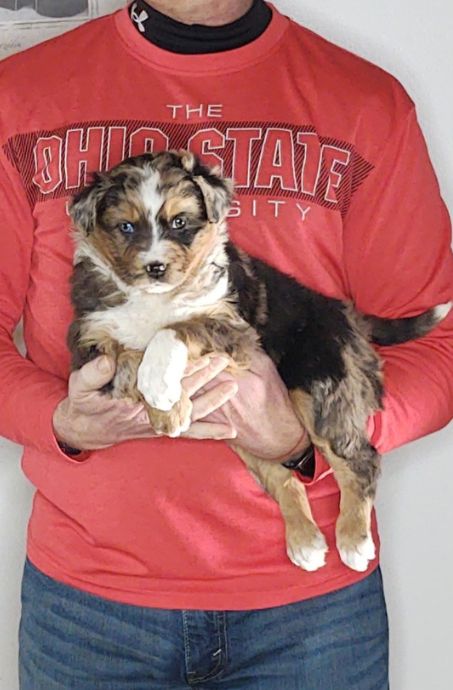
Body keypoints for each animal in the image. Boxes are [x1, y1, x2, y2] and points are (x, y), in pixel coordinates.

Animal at [67, 150, 448, 568]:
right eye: (126, 227)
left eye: (180, 222)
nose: (155, 268)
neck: (154, 297)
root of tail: (347, 313)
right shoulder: (88, 340)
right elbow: (126, 358)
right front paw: (167, 407)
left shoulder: (234, 327)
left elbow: (179, 328)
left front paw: (162, 392)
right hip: (244, 435)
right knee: (280, 475)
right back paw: (305, 541)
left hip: (319, 381)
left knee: (360, 456)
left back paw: (354, 540)